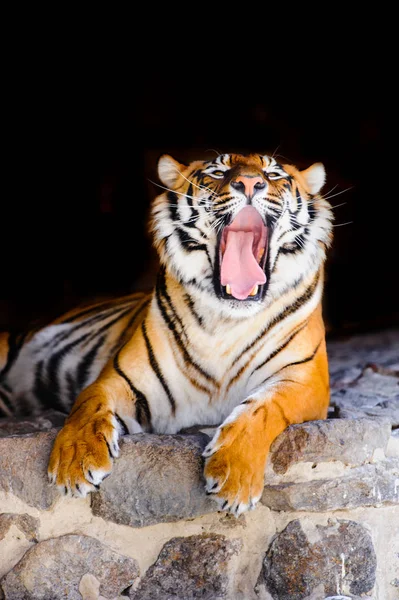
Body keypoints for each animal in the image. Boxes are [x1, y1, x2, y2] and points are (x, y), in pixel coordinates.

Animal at [0, 151, 332, 516]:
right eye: (218, 171)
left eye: (273, 174)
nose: (249, 183)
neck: (226, 321)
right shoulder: (121, 379)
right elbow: (88, 406)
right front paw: (75, 462)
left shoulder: (304, 381)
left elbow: (261, 410)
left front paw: (234, 476)